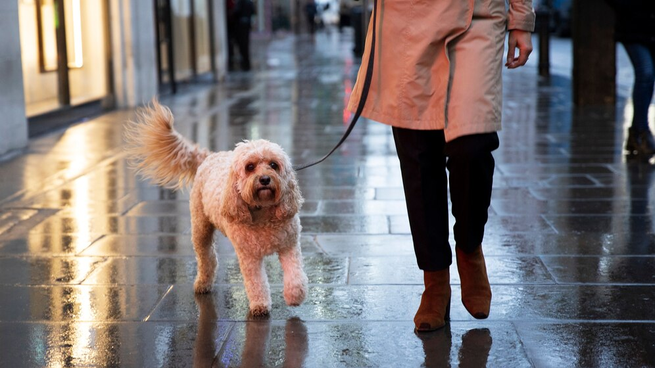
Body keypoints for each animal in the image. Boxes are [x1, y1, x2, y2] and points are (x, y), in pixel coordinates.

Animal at [126, 100, 310, 316]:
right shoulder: (249, 257)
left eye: (274, 165)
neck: (263, 212)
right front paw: (260, 305)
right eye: (250, 167)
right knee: (208, 258)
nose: (265, 179)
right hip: (200, 228)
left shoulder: (289, 245)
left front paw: (295, 295)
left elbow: (295, 275)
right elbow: (256, 282)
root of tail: (211, 156)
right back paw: (203, 283)